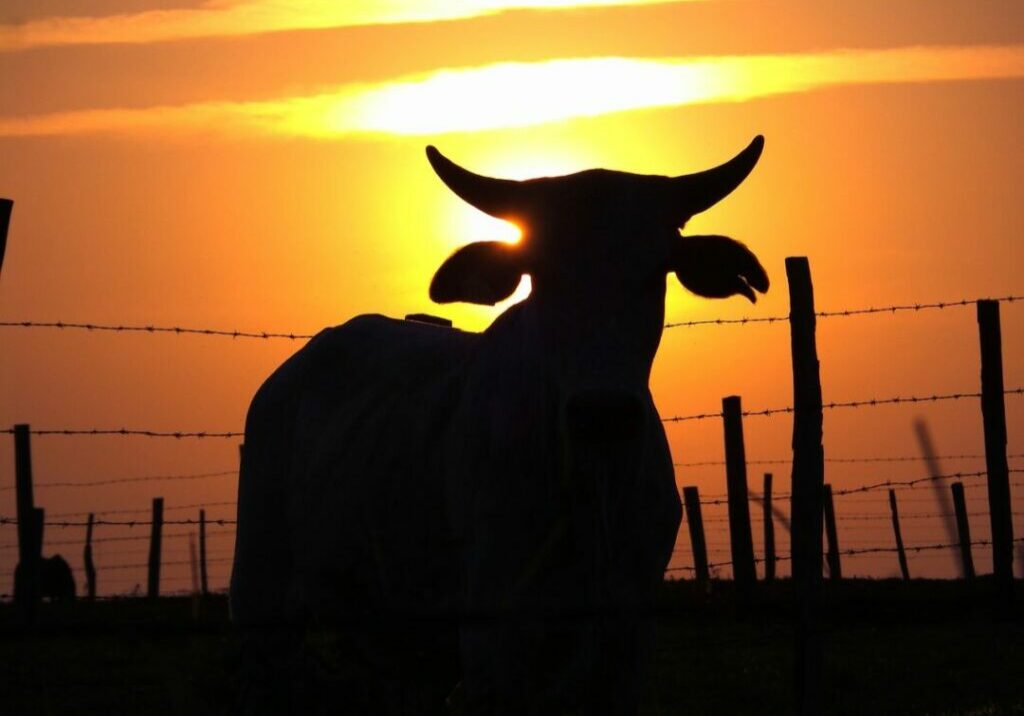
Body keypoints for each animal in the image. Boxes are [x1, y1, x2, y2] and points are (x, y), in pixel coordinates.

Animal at [230, 136, 769, 714]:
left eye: (657, 269)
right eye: (540, 271)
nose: (602, 413)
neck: (586, 495)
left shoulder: (628, 638)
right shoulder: (493, 641)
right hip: (260, 602)